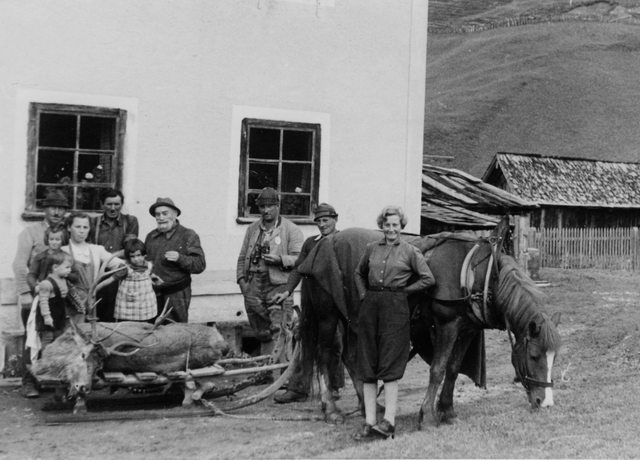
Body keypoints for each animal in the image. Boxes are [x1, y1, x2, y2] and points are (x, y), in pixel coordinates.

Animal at [296, 219, 560, 428]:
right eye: (534, 355)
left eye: (553, 358)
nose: (545, 403)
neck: (480, 275)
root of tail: (321, 244)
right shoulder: (446, 326)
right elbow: (438, 368)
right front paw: (429, 415)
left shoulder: (467, 329)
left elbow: (453, 368)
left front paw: (448, 410)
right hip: (328, 316)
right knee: (324, 354)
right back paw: (331, 409)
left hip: (354, 317)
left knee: (350, 357)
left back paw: (370, 406)